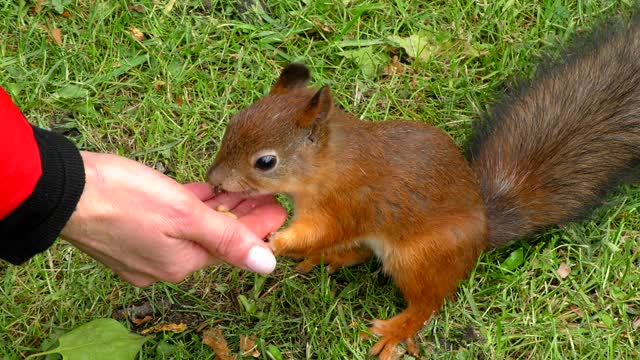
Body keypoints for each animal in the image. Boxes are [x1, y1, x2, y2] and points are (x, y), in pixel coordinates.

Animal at [205, 12, 640, 358]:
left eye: (266, 162)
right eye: (234, 123)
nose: (213, 181)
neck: (331, 166)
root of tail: (483, 233)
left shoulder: (350, 203)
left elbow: (322, 231)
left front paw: (276, 241)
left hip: (420, 259)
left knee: (427, 303)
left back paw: (398, 328)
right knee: (363, 253)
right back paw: (333, 258)